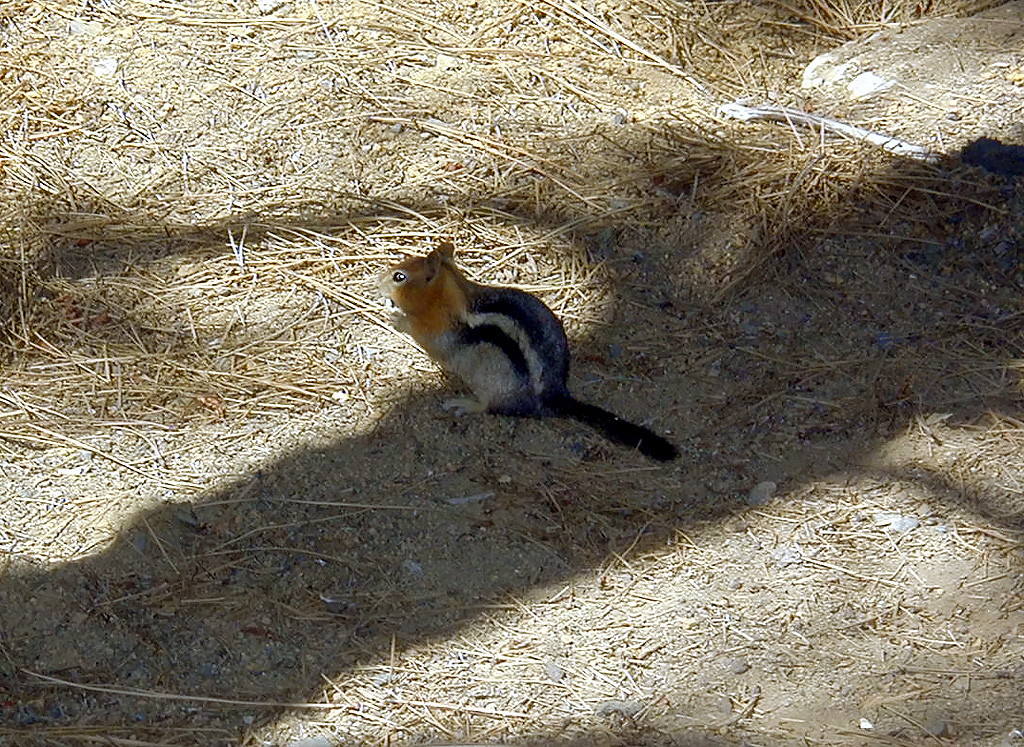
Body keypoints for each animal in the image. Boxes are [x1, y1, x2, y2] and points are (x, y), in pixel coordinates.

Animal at [380, 242, 678, 462]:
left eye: (399, 277)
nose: (377, 279)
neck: (452, 294)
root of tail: (557, 398)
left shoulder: (438, 332)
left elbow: (424, 337)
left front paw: (397, 318)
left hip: (492, 386)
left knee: (489, 407)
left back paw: (463, 404)